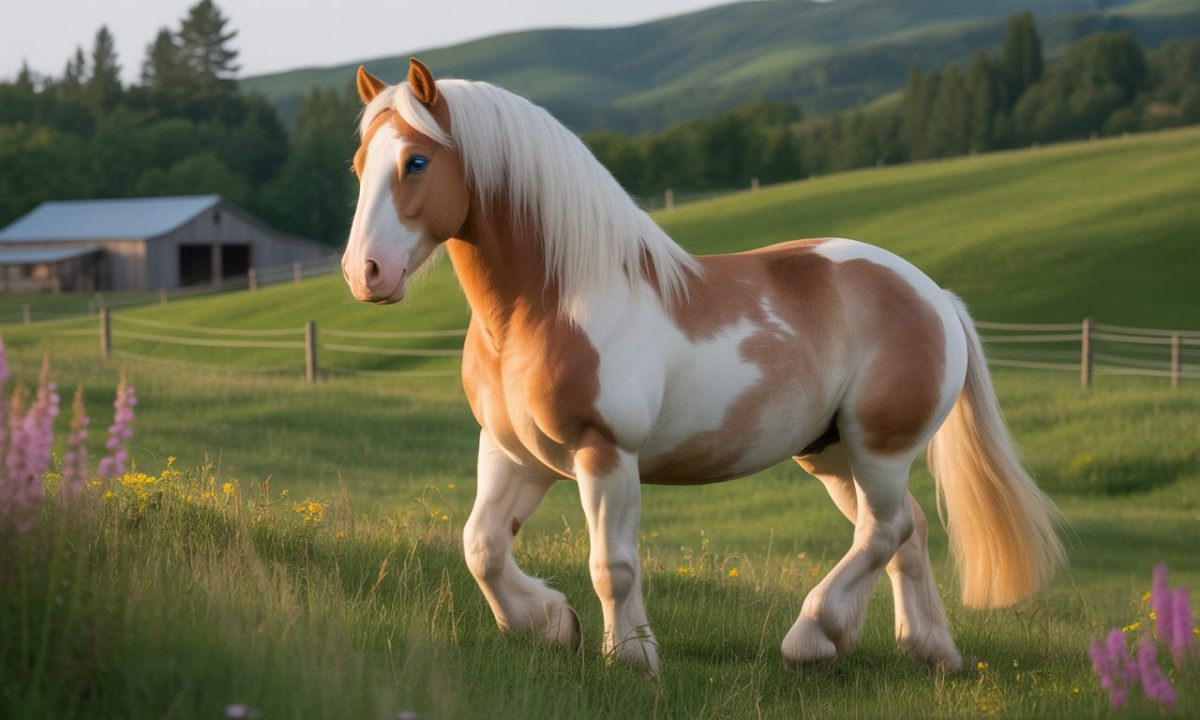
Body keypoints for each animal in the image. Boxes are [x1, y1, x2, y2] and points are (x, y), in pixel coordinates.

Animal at [341, 58, 1065, 677]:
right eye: (358, 165)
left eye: (416, 160)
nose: (364, 273)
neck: (547, 305)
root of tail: (935, 295)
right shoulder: (513, 451)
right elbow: (483, 547)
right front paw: (551, 624)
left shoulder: (605, 453)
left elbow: (612, 565)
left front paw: (631, 659)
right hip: (832, 453)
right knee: (904, 531)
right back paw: (928, 651)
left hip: (879, 446)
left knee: (884, 529)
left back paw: (813, 637)